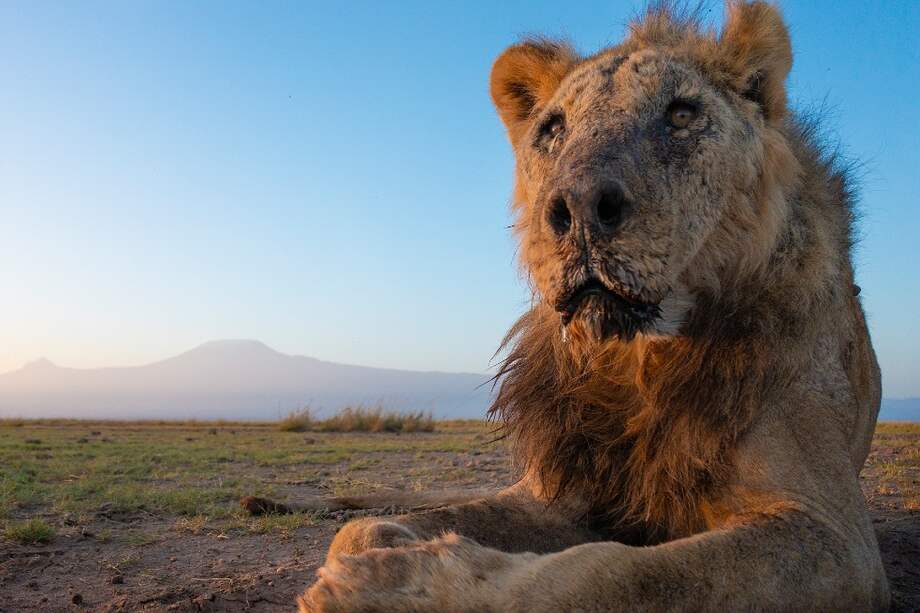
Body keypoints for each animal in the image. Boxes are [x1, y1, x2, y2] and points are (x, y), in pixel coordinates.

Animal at [292, 2, 889, 610]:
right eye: (553, 129)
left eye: (680, 114)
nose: (578, 208)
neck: (636, 359)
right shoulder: (557, 491)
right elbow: (361, 530)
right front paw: (381, 549)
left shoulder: (834, 535)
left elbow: (613, 573)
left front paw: (397, 586)